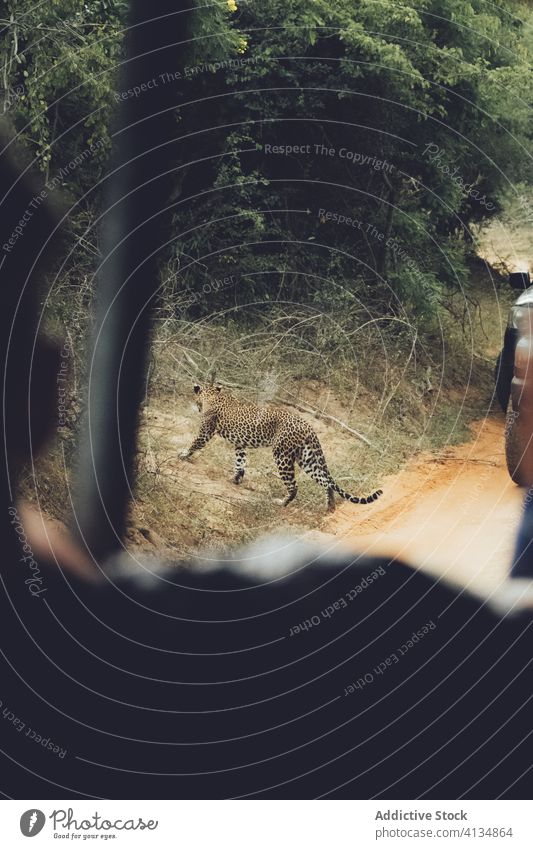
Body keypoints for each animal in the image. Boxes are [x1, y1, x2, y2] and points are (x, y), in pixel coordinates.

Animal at [180, 382, 382, 510]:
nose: (197, 406)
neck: (213, 395)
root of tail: (308, 426)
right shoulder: (240, 443)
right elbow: (240, 461)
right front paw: (236, 479)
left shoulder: (206, 432)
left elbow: (195, 443)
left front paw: (182, 455)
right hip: (306, 458)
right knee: (325, 481)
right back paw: (330, 506)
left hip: (282, 455)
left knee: (294, 486)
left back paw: (282, 503)